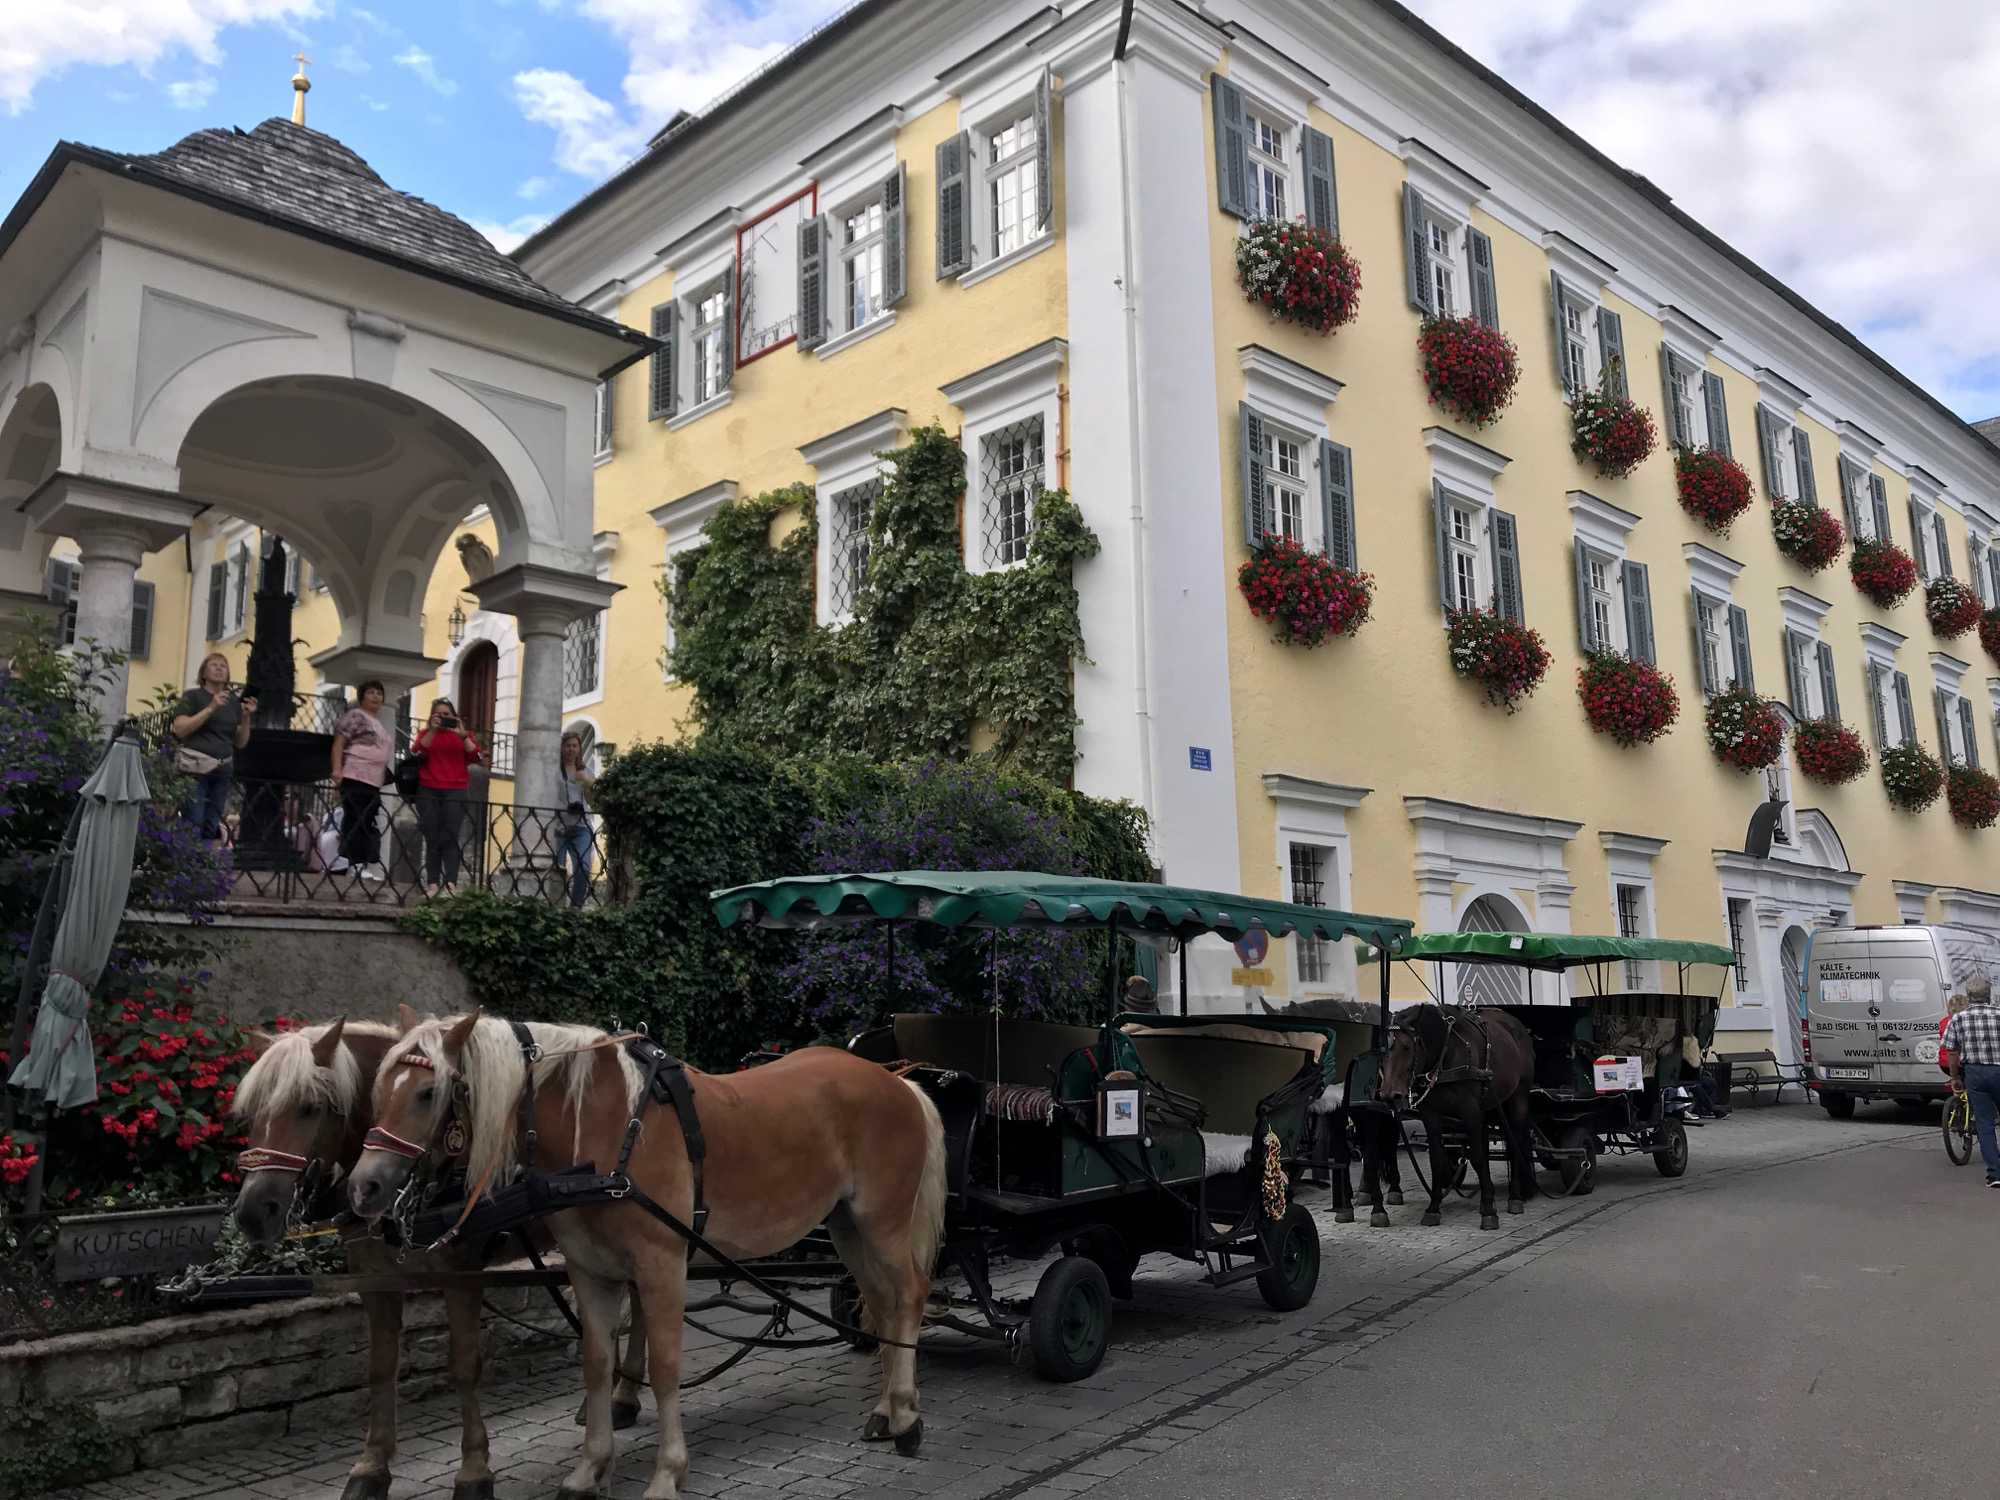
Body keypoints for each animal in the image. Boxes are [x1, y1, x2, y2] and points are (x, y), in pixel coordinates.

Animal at [230, 1016, 652, 1500]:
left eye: (309, 1106)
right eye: (250, 1111)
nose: (251, 1212)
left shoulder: (460, 1273)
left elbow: (465, 1365)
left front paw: (473, 1471)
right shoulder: (374, 1276)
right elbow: (380, 1366)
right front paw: (371, 1466)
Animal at [345, 1013, 949, 1500]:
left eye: (428, 1093)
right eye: (379, 1090)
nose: (364, 1188)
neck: (599, 1133)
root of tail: (897, 1080)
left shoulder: (661, 1267)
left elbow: (665, 1367)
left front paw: (667, 1473)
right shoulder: (590, 1271)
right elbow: (596, 1364)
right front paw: (591, 1469)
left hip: (883, 1221)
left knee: (909, 1296)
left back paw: (908, 1416)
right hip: (847, 1226)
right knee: (880, 1303)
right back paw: (884, 1411)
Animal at [1376, 1004, 1538, 1231]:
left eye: (1407, 1047)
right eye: (1382, 1051)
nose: (1390, 1095)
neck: (1444, 1057)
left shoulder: (1470, 1111)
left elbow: (1477, 1157)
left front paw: (1489, 1211)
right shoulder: (1432, 1117)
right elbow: (1437, 1159)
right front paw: (1433, 1208)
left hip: (1518, 1098)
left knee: (1515, 1145)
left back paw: (1514, 1197)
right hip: (1490, 1107)